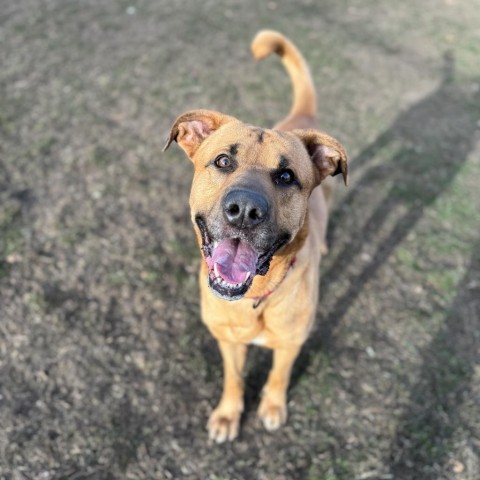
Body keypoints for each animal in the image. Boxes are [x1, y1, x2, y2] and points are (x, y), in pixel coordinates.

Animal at [163, 30, 346, 442]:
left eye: (286, 176)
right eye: (223, 161)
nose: (245, 210)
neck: (255, 299)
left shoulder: (291, 343)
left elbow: (279, 375)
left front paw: (273, 407)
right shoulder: (227, 340)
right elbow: (233, 378)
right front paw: (228, 414)